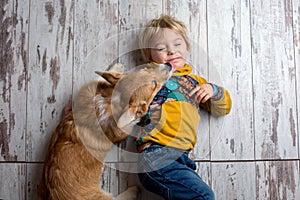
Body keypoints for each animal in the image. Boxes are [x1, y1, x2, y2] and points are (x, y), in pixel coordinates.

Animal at [37, 63, 172, 200]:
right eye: (154, 84)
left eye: (145, 69)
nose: (169, 64)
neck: (113, 99)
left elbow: (101, 77)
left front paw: (117, 68)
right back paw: (133, 190)